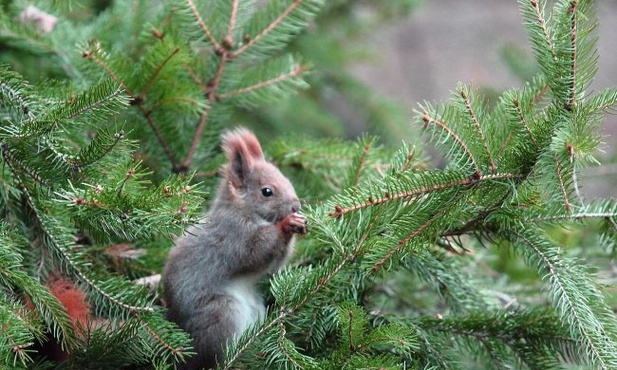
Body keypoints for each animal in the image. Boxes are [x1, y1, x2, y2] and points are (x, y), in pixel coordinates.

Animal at [161, 125, 306, 368]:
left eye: (287, 179)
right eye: (267, 191)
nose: (296, 205)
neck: (243, 210)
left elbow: (274, 265)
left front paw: (299, 222)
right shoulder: (234, 236)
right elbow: (255, 252)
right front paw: (286, 224)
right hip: (223, 313)